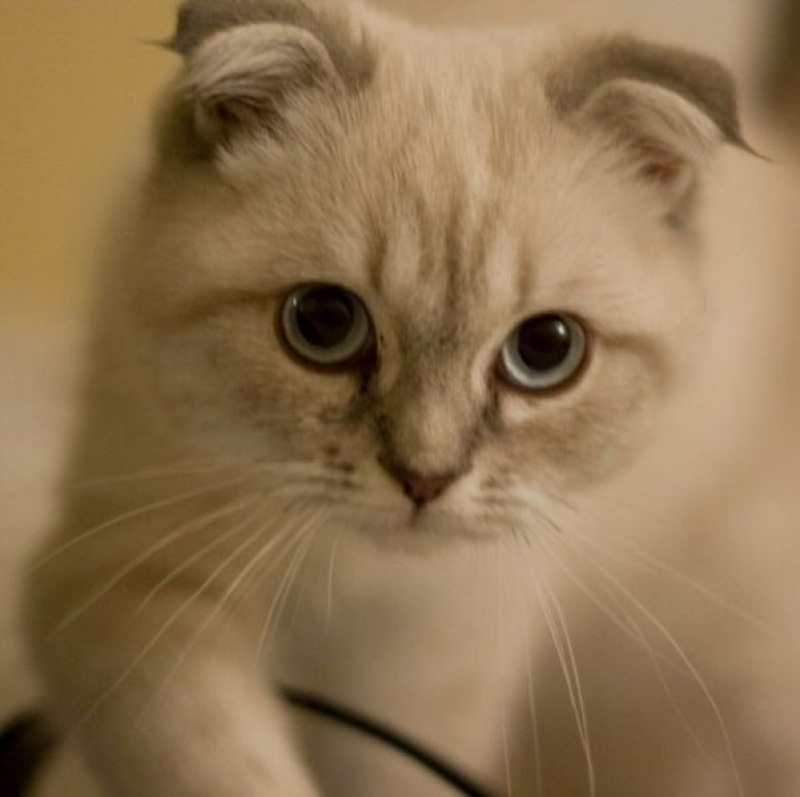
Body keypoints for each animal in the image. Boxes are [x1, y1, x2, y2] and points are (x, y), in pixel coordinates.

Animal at [23, 0, 792, 792]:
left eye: (546, 349)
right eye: (323, 322)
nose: (424, 479)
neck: (357, 583)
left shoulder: (419, 687)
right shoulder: (122, 579)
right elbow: (229, 764)